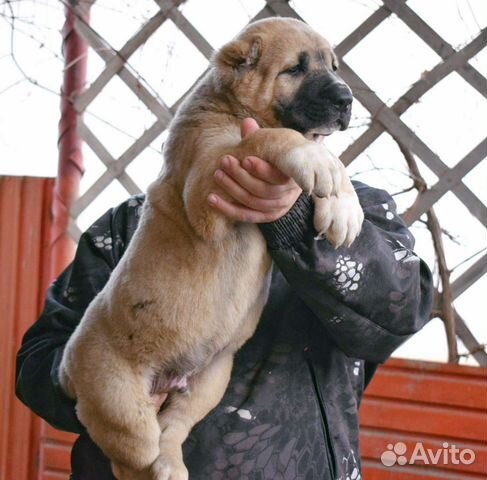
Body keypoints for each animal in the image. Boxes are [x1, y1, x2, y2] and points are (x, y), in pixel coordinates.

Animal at [60, 16, 366, 480]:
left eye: (333, 66)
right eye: (294, 69)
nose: (346, 98)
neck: (233, 108)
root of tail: (67, 366)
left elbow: (331, 162)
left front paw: (345, 206)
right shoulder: (209, 182)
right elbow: (269, 138)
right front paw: (314, 161)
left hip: (209, 380)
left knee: (172, 428)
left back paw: (172, 464)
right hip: (119, 405)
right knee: (132, 456)